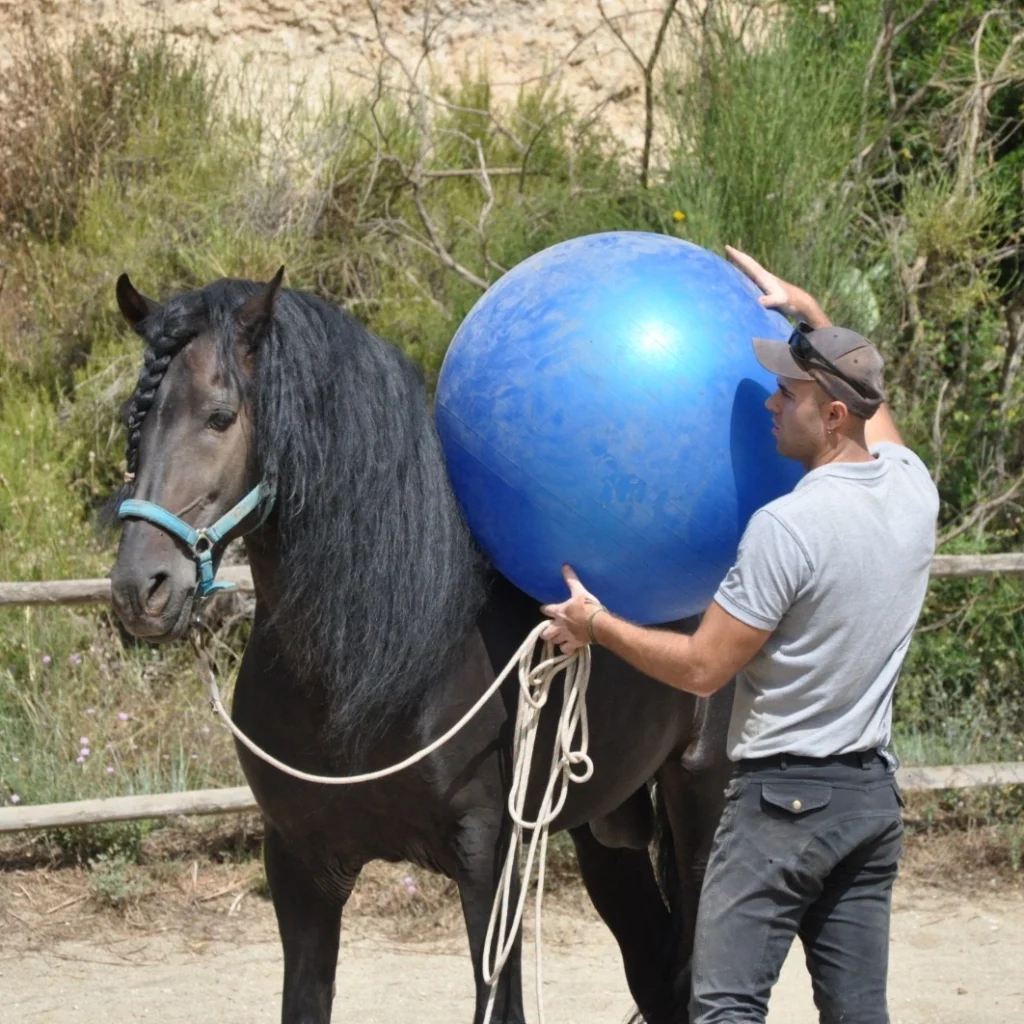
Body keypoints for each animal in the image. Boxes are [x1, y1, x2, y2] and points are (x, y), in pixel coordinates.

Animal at [108, 270, 733, 1024]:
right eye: (135, 421)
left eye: (220, 417)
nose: (140, 588)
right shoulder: (300, 868)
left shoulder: (488, 864)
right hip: (605, 827)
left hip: (699, 795)